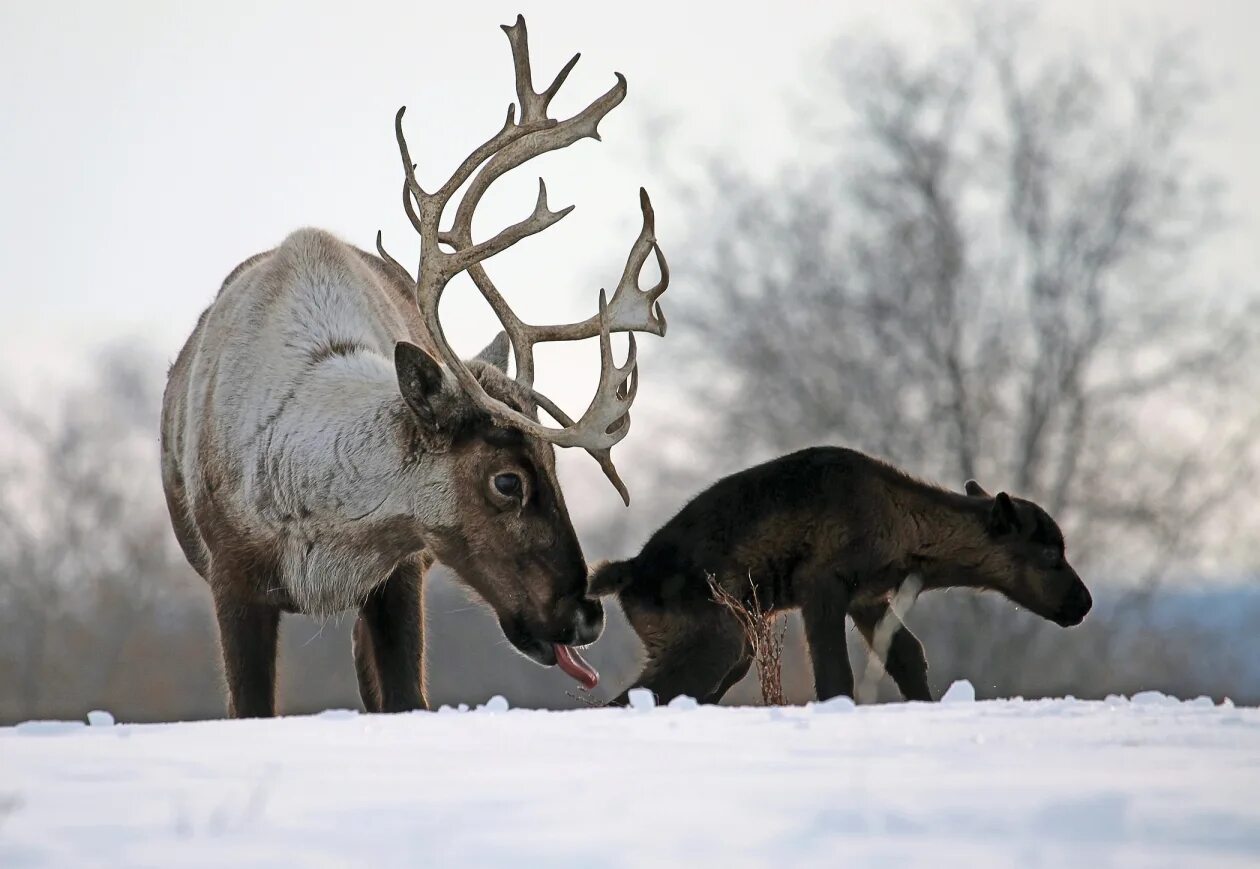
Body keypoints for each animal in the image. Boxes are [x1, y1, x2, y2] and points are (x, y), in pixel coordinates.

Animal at [589, 445, 1093, 705]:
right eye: (1050, 552)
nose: (1084, 603)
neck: (907, 533)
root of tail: (627, 573)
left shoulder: (868, 598)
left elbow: (909, 656)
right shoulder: (822, 587)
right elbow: (835, 677)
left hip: (733, 646)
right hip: (714, 639)